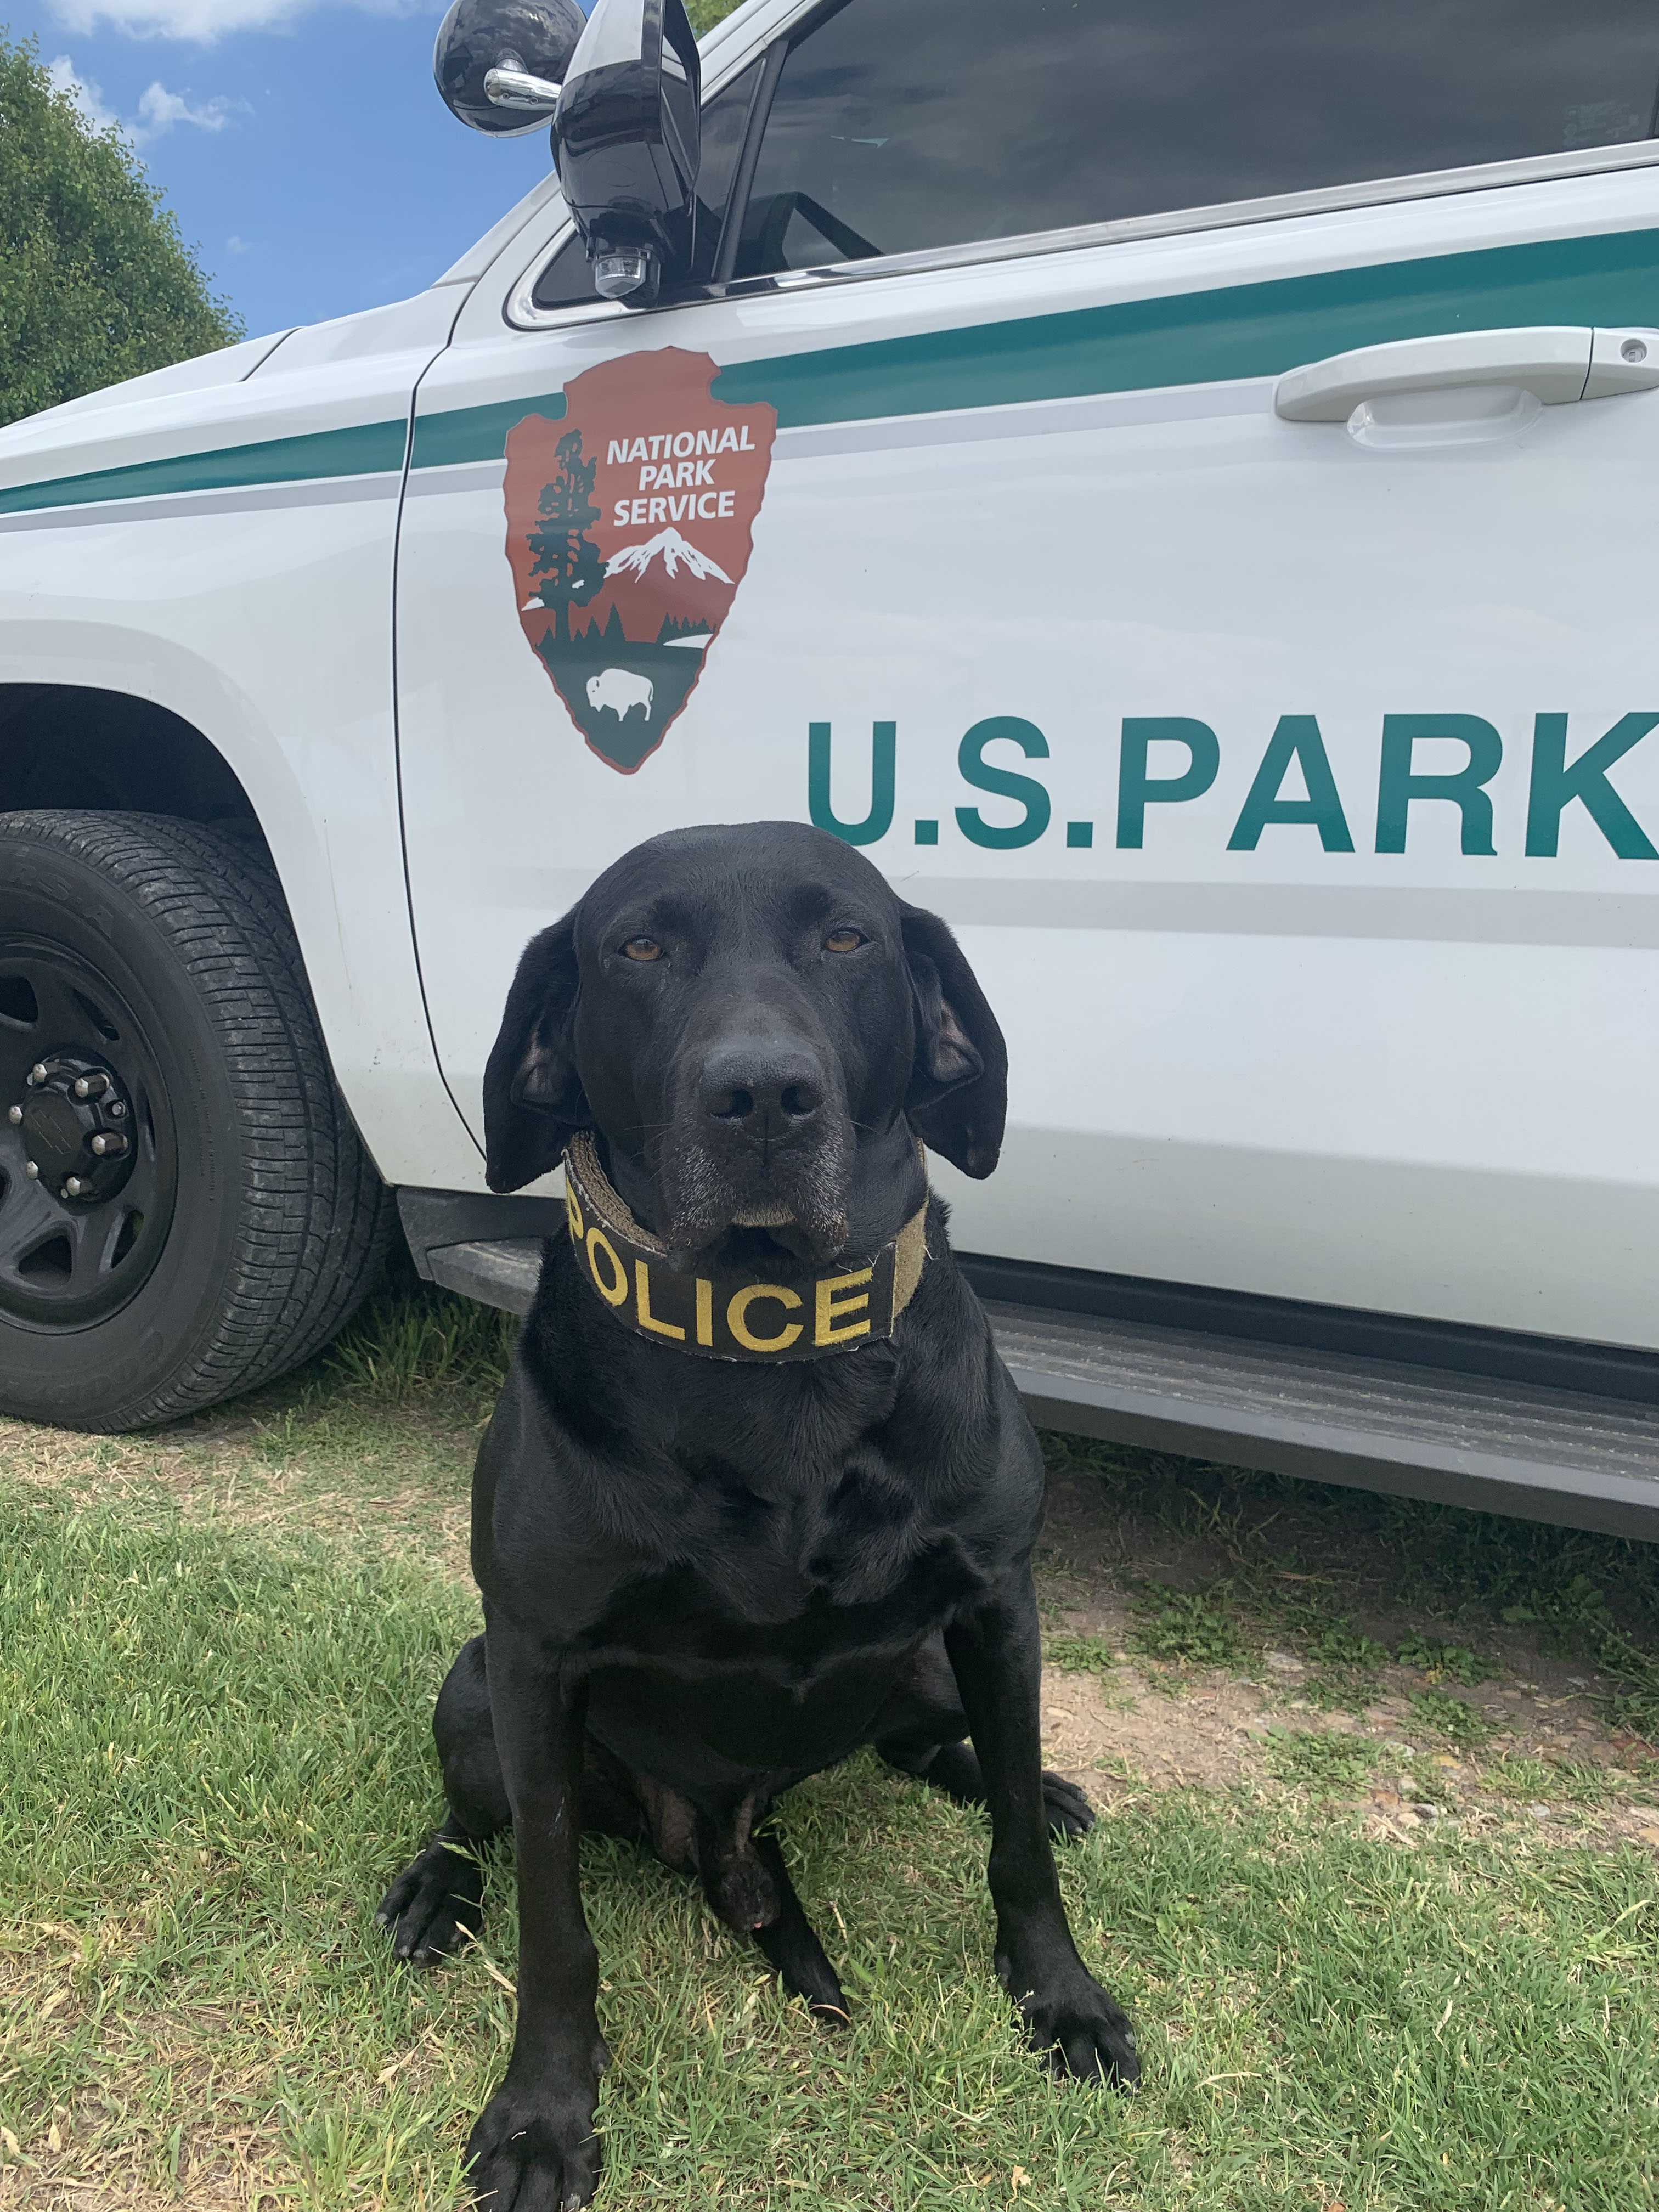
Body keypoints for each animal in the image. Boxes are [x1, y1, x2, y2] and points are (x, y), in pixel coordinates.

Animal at [378, 822, 1141, 2203]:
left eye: (846, 937)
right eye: (638, 947)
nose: (765, 1098)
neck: (774, 1343)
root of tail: (727, 1842)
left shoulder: (998, 1599)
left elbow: (1018, 1849)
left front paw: (1060, 2000)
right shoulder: (533, 1654)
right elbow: (555, 1923)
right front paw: (542, 2117)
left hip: (925, 1660)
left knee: (942, 1750)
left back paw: (1010, 1775)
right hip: (474, 1691)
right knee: (477, 1824)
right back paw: (432, 1887)